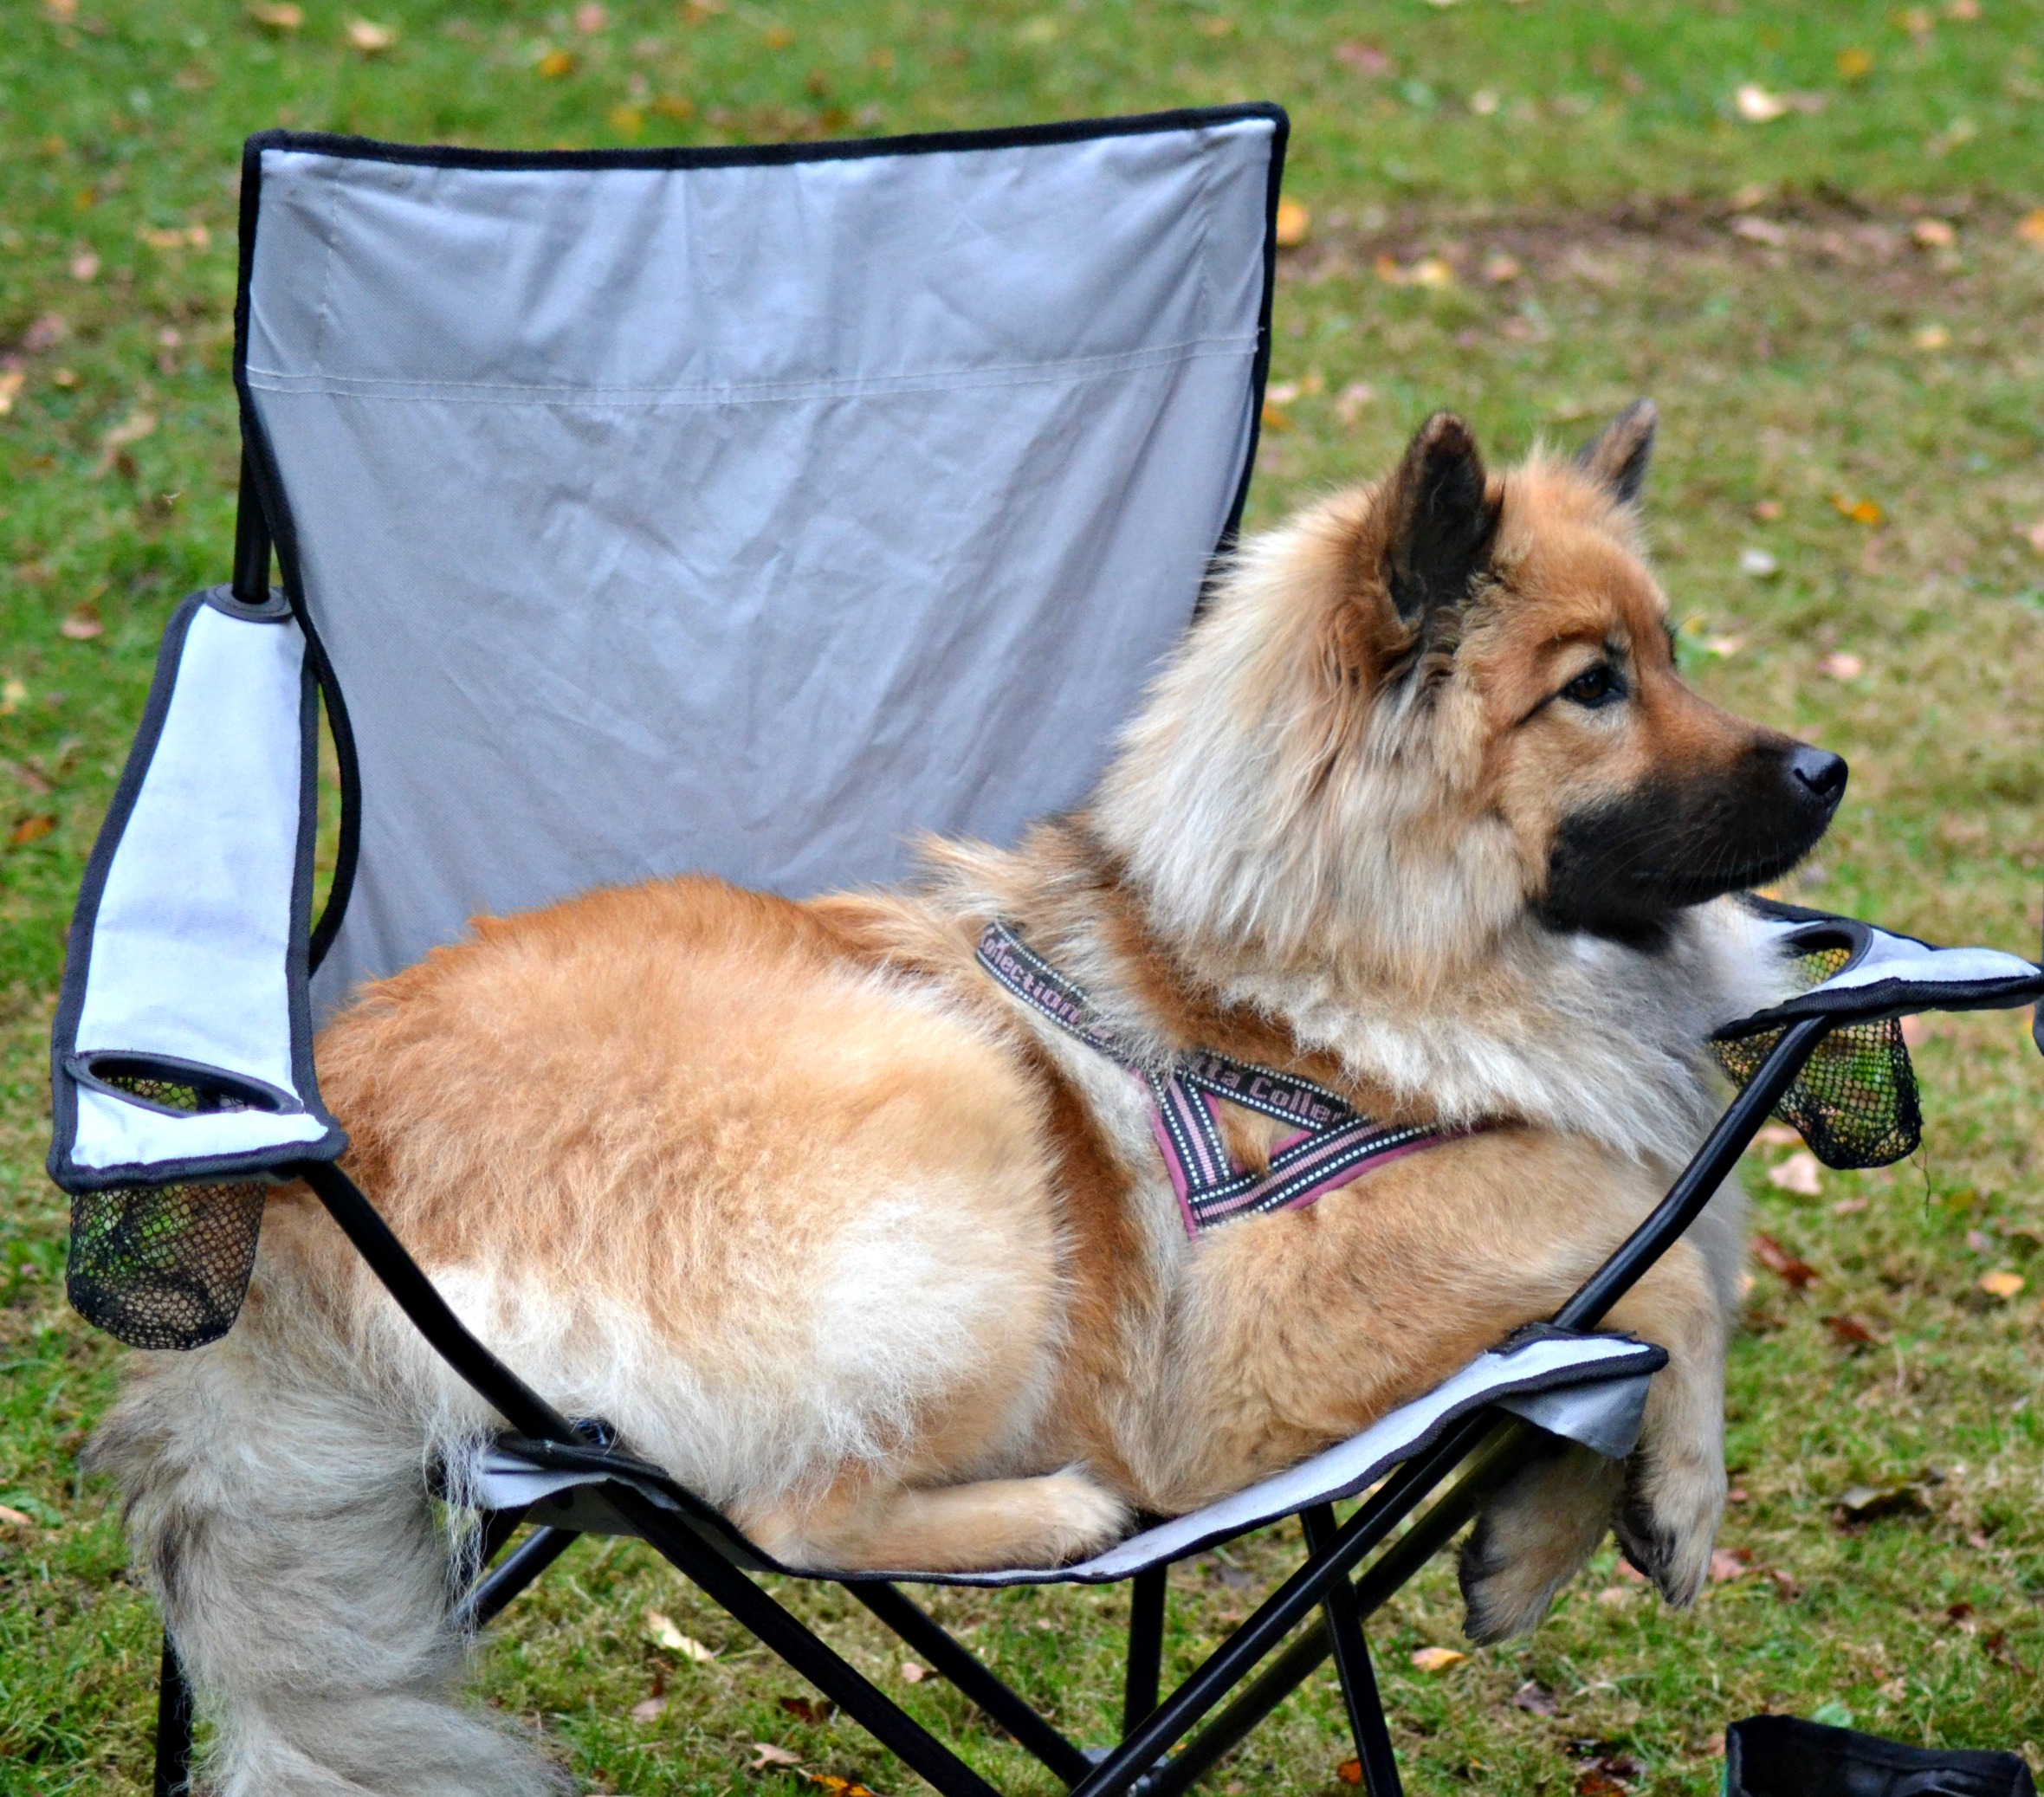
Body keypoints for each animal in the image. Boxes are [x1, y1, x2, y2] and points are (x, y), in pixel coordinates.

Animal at [91, 403, 1845, 1796]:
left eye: (1672, 656)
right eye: (1593, 687)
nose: (1825, 769)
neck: (1311, 966)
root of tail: (314, 1171)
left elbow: (1623, 1296)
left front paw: (1532, 1544)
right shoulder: (1253, 1346)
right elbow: (1663, 1243)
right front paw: (1679, 1495)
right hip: (961, 1116)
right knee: (790, 1508)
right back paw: (1055, 1510)